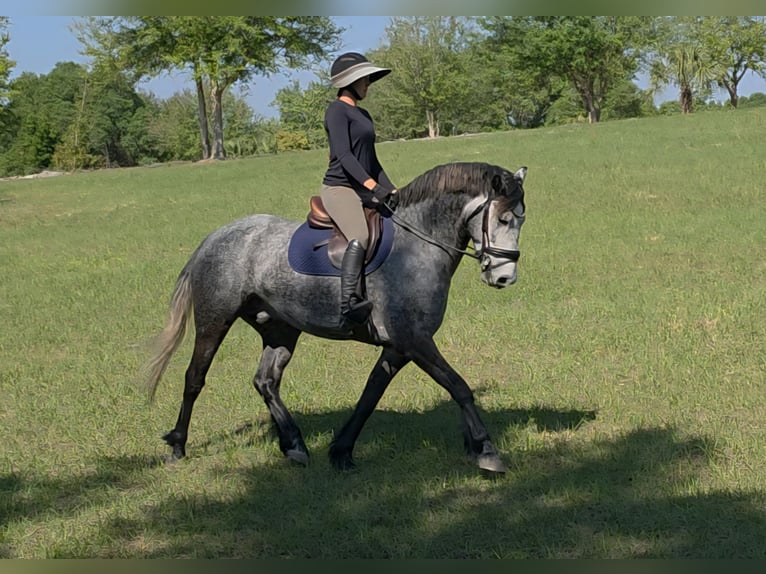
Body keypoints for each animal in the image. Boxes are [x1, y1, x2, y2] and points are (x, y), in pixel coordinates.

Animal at [143, 161, 527, 475]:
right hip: (215, 320)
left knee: (266, 381)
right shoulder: (414, 339)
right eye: (504, 219)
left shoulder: (399, 346)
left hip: (281, 330)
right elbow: (458, 386)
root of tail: (215, 236)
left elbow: (371, 394)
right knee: (195, 378)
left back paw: (294, 445)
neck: (417, 245)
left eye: (521, 220)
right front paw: (487, 450)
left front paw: (341, 451)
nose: (505, 278)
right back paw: (178, 445)